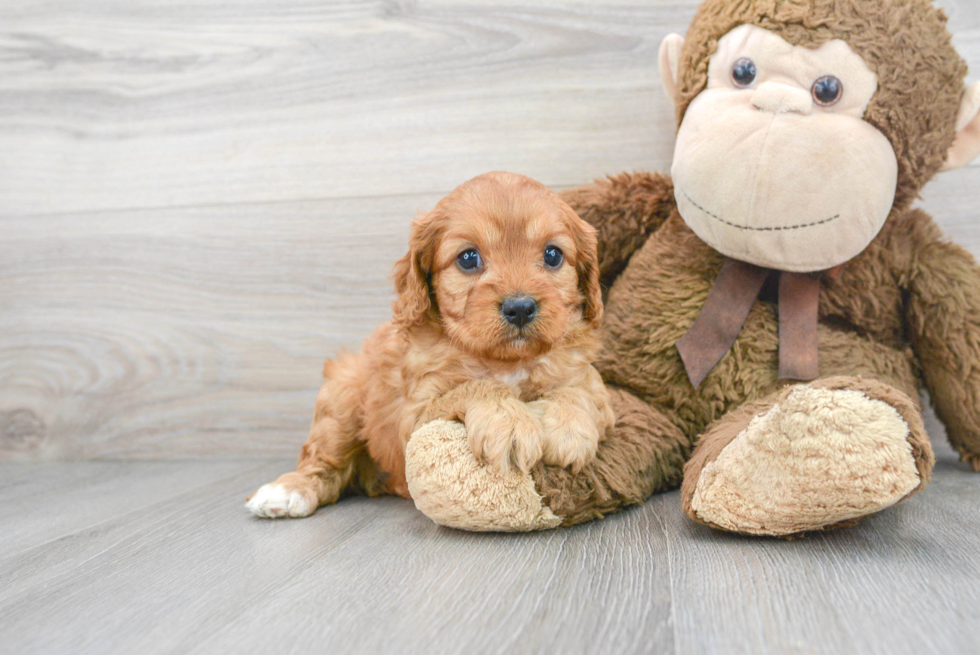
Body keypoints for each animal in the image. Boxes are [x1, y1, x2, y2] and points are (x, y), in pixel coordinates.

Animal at [245, 172, 612, 520]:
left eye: (552, 255)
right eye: (468, 258)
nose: (520, 307)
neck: (504, 362)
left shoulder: (594, 387)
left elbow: (577, 389)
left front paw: (569, 428)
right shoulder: (415, 415)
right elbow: (476, 386)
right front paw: (507, 422)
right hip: (343, 394)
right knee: (322, 461)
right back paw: (287, 491)